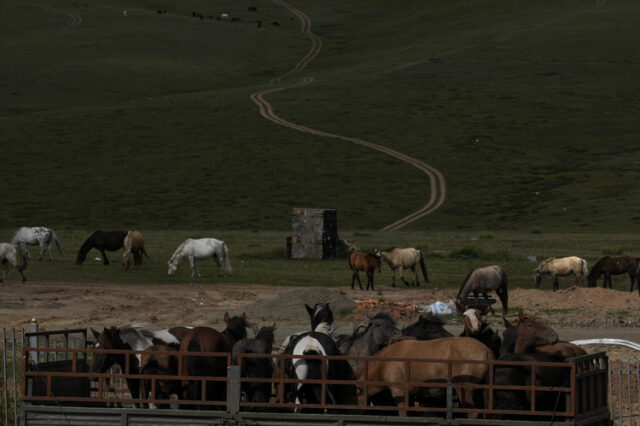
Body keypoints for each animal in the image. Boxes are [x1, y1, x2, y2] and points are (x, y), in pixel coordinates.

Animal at [358, 336, 492, 416]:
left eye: (356, 393)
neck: (385, 362)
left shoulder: (399, 391)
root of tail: (486, 350)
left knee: (472, 412)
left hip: (464, 389)